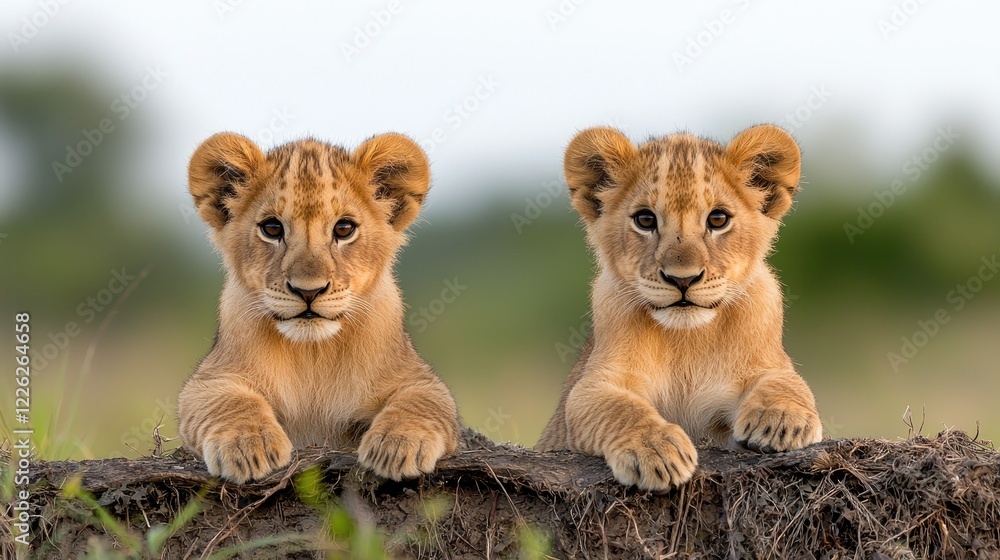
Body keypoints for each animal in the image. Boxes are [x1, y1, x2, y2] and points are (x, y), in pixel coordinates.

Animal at [178, 132, 460, 484]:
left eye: (344, 229)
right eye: (272, 228)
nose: (308, 291)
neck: (312, 354)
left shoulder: (420, 377)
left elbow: (422, 401)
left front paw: (396, 445)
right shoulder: (209, 379)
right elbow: (226, 401)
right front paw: (248, 444)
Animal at [535, 125, 823, 492]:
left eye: (718, 218)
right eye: (645, 219)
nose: (682, 279)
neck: (686, 339)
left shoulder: (767, 367)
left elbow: (787, 383)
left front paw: (781, 420)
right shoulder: (591, 387)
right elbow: (619, 408)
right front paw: (656, 450)